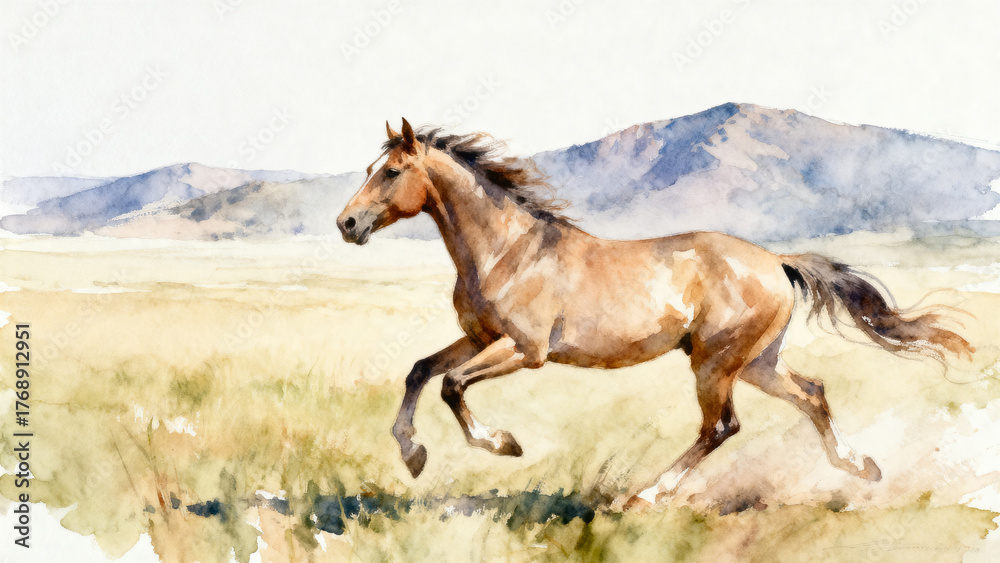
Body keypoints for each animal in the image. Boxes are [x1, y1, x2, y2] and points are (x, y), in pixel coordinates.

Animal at [336, 118, 974, 510]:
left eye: (391, 172)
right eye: (370, 168)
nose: (346, 224)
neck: (507, 250)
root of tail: (776, 261)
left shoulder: (524, 350)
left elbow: (451, 385)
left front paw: (503, 445)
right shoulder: (478, 337)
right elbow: (421, 371)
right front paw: (413, 454)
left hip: (716, 364)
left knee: (721, 427)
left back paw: (644, 497)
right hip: (756, 362)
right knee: (812, 392)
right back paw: (860, 465)